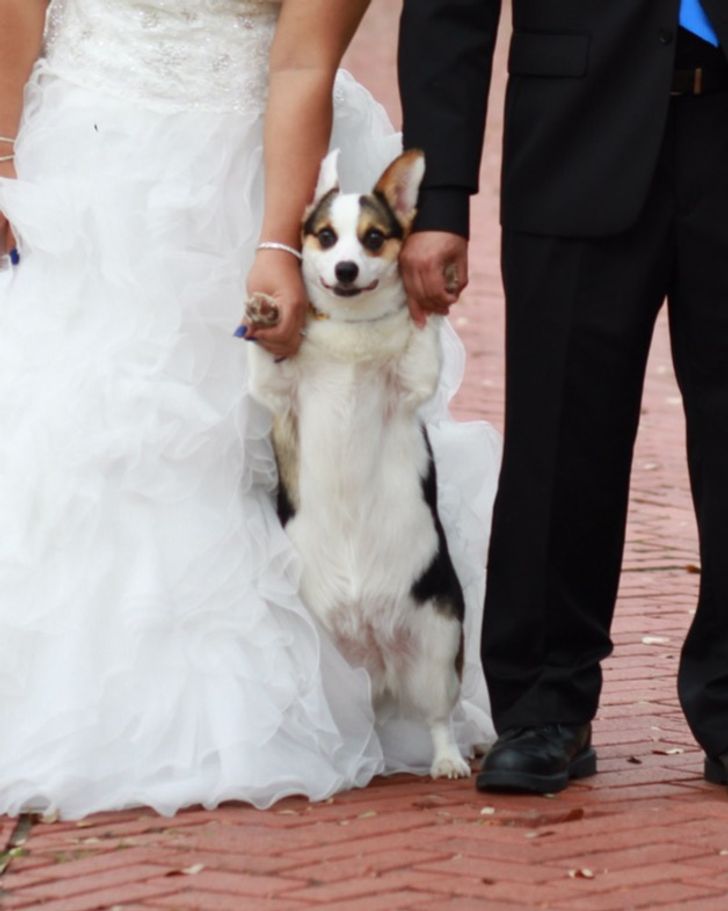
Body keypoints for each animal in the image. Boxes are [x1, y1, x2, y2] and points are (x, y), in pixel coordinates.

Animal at [247, 153, 470, 780]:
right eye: (325, 237)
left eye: (374, 239)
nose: (346, 269)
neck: (350, 331)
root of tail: (378, 661)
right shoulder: (277, 394)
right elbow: (264, 359)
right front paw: (264, 309)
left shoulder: (411, 384)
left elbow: (422, 340)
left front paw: (431, 292)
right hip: (329, 667)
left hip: (436, 652)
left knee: (438, 718)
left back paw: (446, 761)